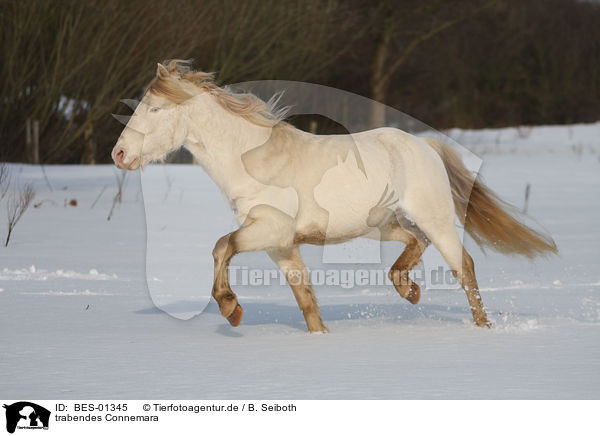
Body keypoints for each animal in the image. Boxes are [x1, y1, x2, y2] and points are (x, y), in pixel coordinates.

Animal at [113, 61, 556, 332]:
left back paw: (481, 328)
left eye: (154, 110)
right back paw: (408, 291)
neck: (253, 159)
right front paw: (319, 337)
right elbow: (306, 299)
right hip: (383, 225)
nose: (119, 154)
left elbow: (222, 246)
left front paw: (230, 309)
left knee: (463, 266)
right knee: (416, 243)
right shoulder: (280, 246)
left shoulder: (270, 229)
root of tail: (424, 145)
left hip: (437, 218)